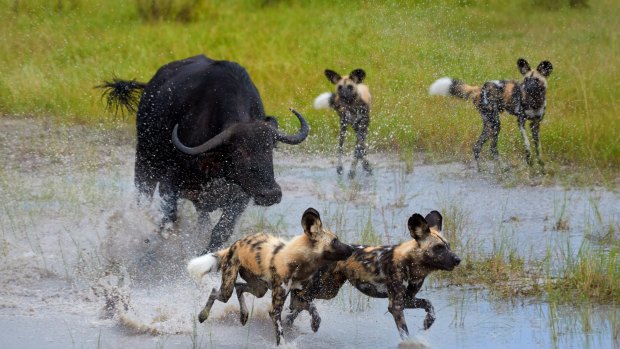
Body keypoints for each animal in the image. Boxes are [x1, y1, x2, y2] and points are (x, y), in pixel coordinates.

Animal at [101, 54, 310, 250]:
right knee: (142, 201)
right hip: (145, 163)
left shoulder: (241, 197)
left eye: (270, 149)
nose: (271, 194)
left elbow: (220, 232)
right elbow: (168, 223)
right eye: (238, 152)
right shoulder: (170, 185)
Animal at [186, 207, 354, 346]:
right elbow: (280, 334)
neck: (299, 263)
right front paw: (283, 346)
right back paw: (202, 315)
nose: (352, 248)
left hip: (259, 289)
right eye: (335, 241)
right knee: (216, 291)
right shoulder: (276, 310)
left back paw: (243, 315)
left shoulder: (297, 300)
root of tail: (235, 244)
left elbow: (314, 309)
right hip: (228, 289)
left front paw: (315, 324)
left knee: (239, 287)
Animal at [286, 211, 460, 338]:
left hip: (328, 291)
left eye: (448, 246)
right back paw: (312, 322)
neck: (412, 263)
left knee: (296, 305)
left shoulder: (407, 300)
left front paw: (428, 322)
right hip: (320, 288)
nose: (458, 260)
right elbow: (405, 333)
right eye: (438, 248)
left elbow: (429, 304)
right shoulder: (396, 306)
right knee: (300, 299)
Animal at [428, 57, 556, 171]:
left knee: (476, 147)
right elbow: (527, 144)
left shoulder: (535, 125)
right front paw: (529, 161)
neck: (534, 101)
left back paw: (481, 169)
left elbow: (538, 148)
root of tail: (478, 89)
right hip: (495, 124)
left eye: (536, 80)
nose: (526, 88)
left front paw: (541, 165)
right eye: (526, 80)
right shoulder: (521, 122)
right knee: (492, 148)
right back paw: (502, 168)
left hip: (489, 125)